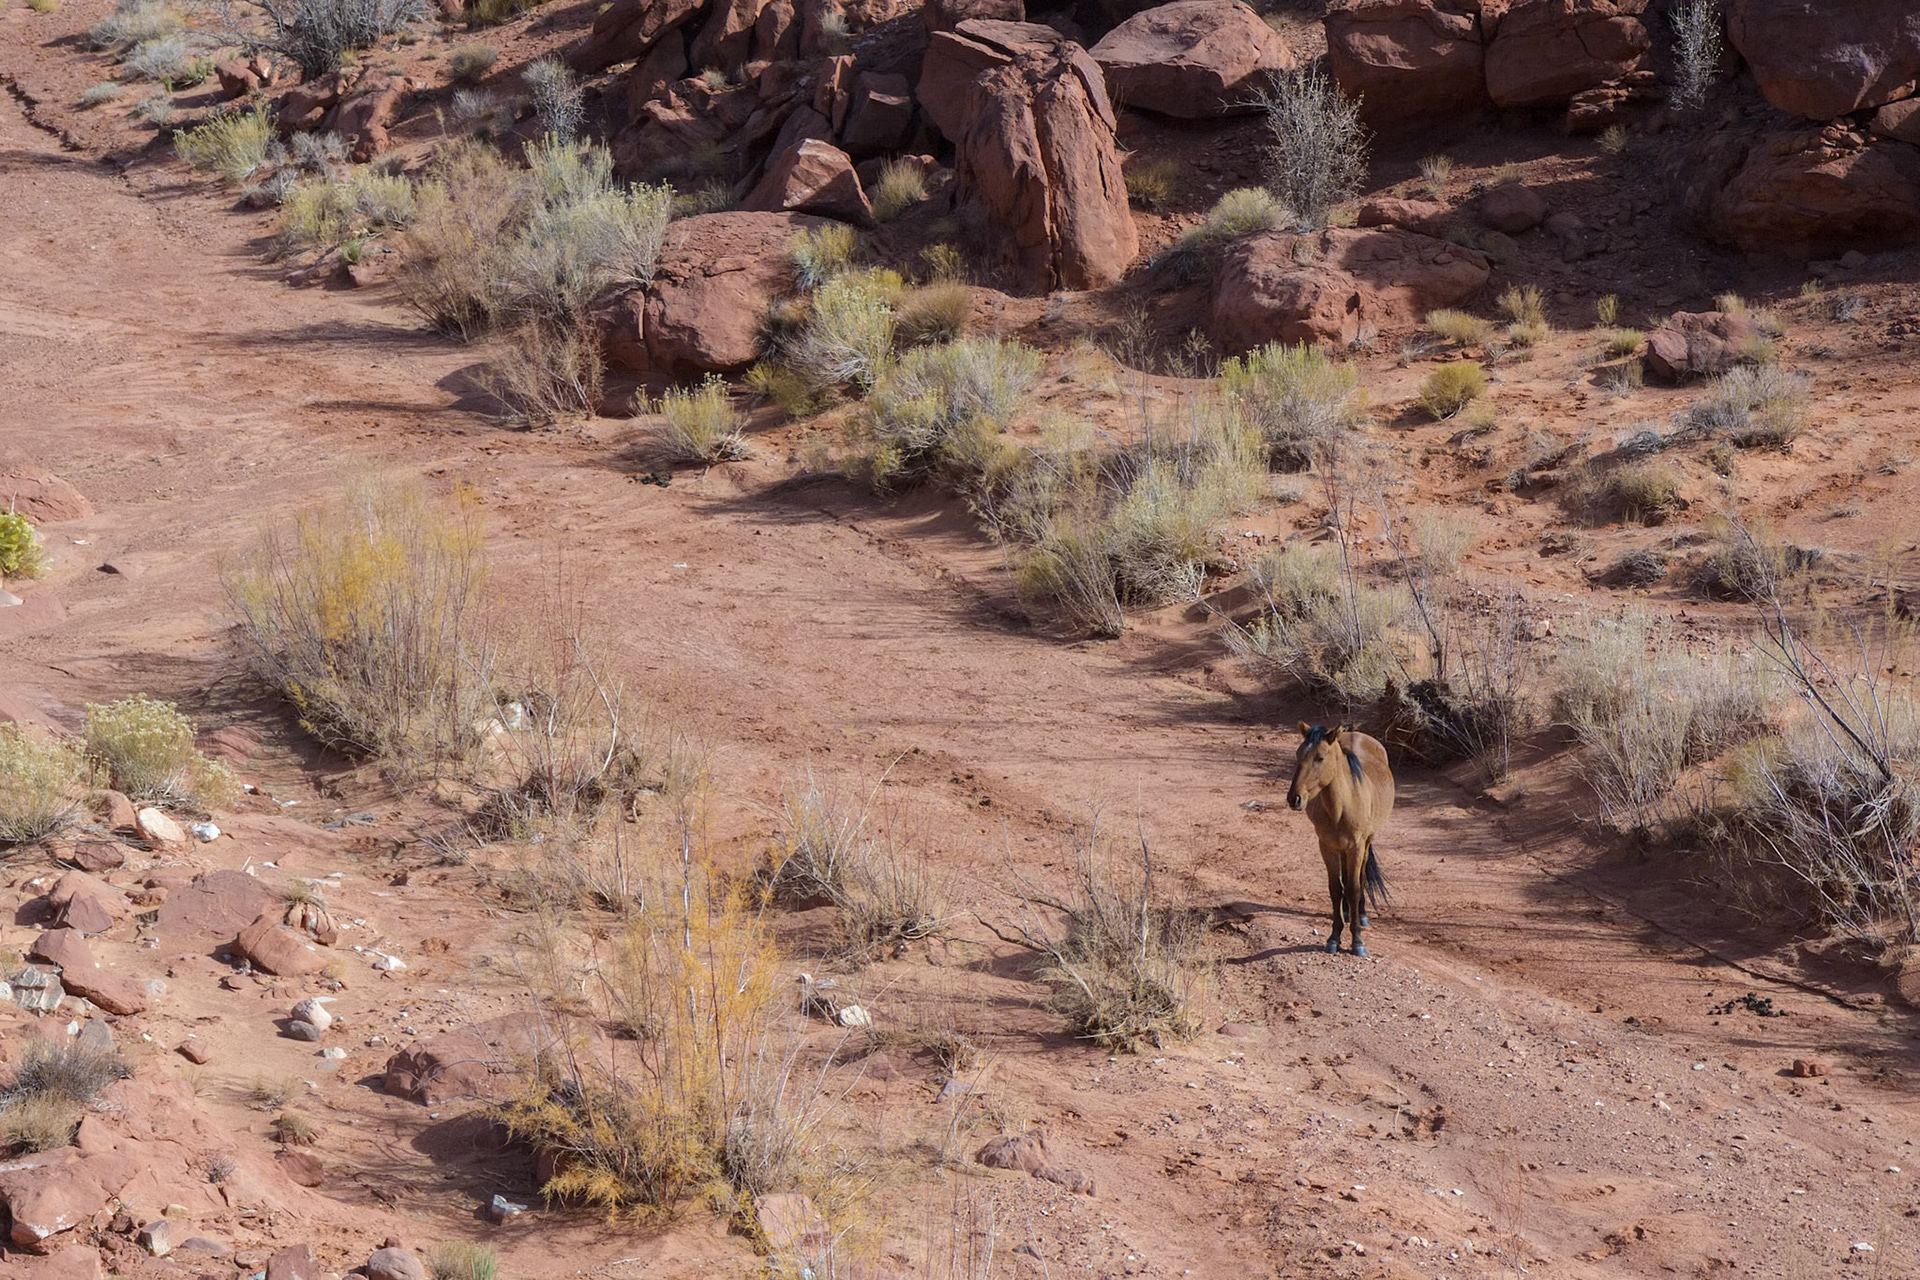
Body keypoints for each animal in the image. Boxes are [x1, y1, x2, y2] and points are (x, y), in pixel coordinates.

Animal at [1286, 722, 1395, 956]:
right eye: (1298, 754)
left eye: (1320, 758)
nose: (1294, 798)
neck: (1342, 806)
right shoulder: (1326, 846)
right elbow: (1336, 888)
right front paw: (1334, 937)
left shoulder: (1356, 846)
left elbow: (1354, 888)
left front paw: (1357, 941)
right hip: (1341, 849)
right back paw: (1346, 912)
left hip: (1366, 841)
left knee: (1360, 877)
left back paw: (1360, 915)